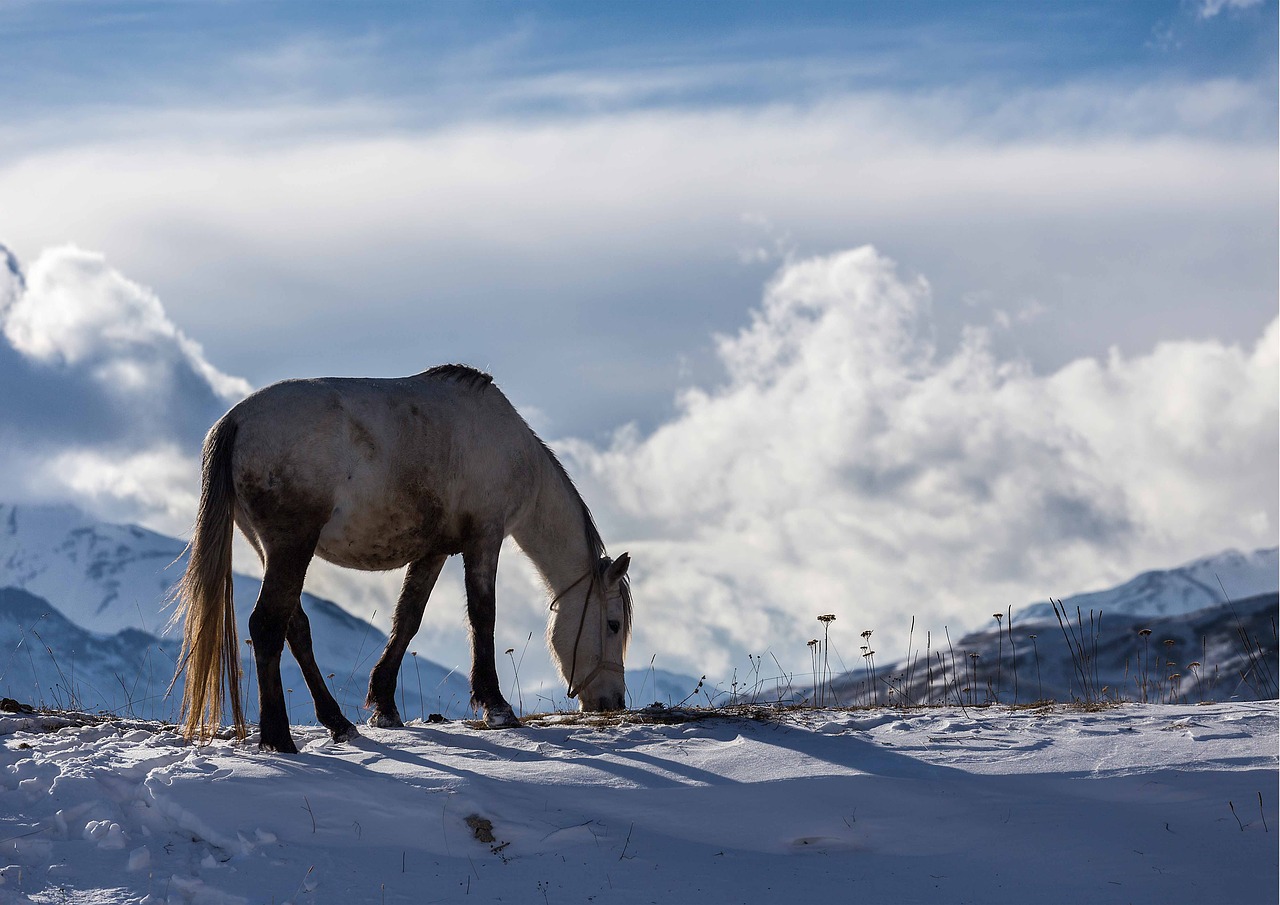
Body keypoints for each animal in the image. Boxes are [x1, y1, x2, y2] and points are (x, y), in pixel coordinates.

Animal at [170, 363, 629, 752]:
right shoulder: (485, 538)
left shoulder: (435, 551)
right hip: (291, 547)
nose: (612, 702)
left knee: (294, 628)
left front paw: (385, 706)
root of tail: (235, 420)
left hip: (274, 551)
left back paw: (338, 722)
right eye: (613, 625)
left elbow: (408, 618)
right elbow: (483, 616)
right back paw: (279, 738)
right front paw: (497, 706)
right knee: (267, 626)